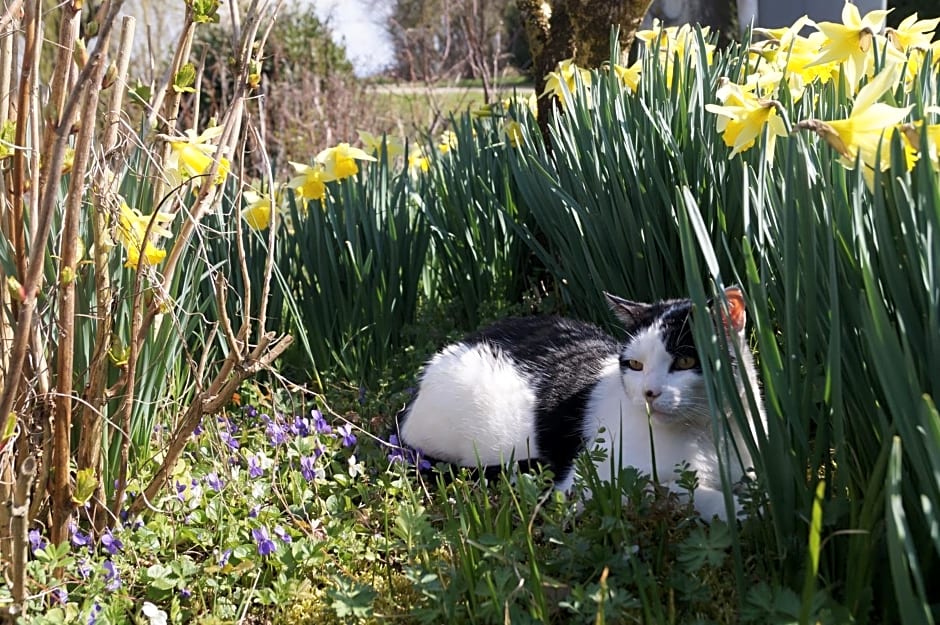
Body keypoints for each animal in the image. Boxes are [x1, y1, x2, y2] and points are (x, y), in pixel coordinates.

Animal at [396, 288, 764, 520]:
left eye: (686, 361)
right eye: (635, 365)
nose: (649, 392)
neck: (707, 435)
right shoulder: (597, 484)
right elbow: (682, 492)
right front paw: (749, 510)